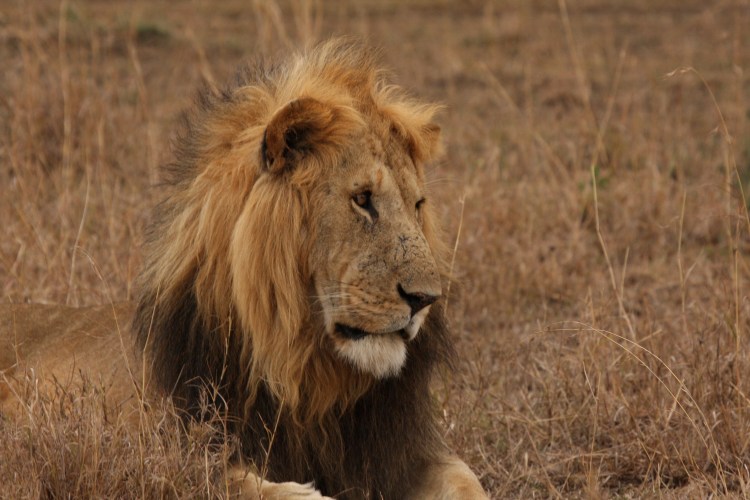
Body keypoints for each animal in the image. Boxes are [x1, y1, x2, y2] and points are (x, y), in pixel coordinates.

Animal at [1, 39, 487, 499]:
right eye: (362, 199)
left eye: (417, 205)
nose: (425, 299)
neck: (305, 372)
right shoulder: (170, 453)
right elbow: (241, 483)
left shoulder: (404, 452)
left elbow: (470, 482)